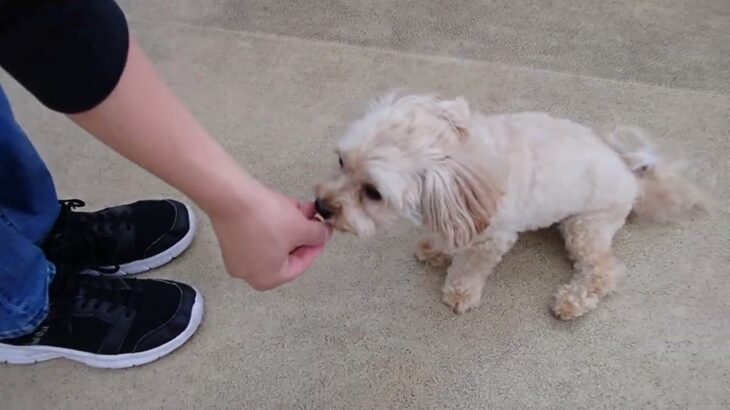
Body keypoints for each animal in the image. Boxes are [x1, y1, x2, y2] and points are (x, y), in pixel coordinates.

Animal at [312, 93, 700, 320]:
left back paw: (573, 300)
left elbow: (469, 266)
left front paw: (460, 291)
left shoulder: (490, 237)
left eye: (373, 192)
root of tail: (632, 177)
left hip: (586, 226)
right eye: (341, 161)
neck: (465, 163)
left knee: (605, 270)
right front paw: (436, 247)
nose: (320, 205)